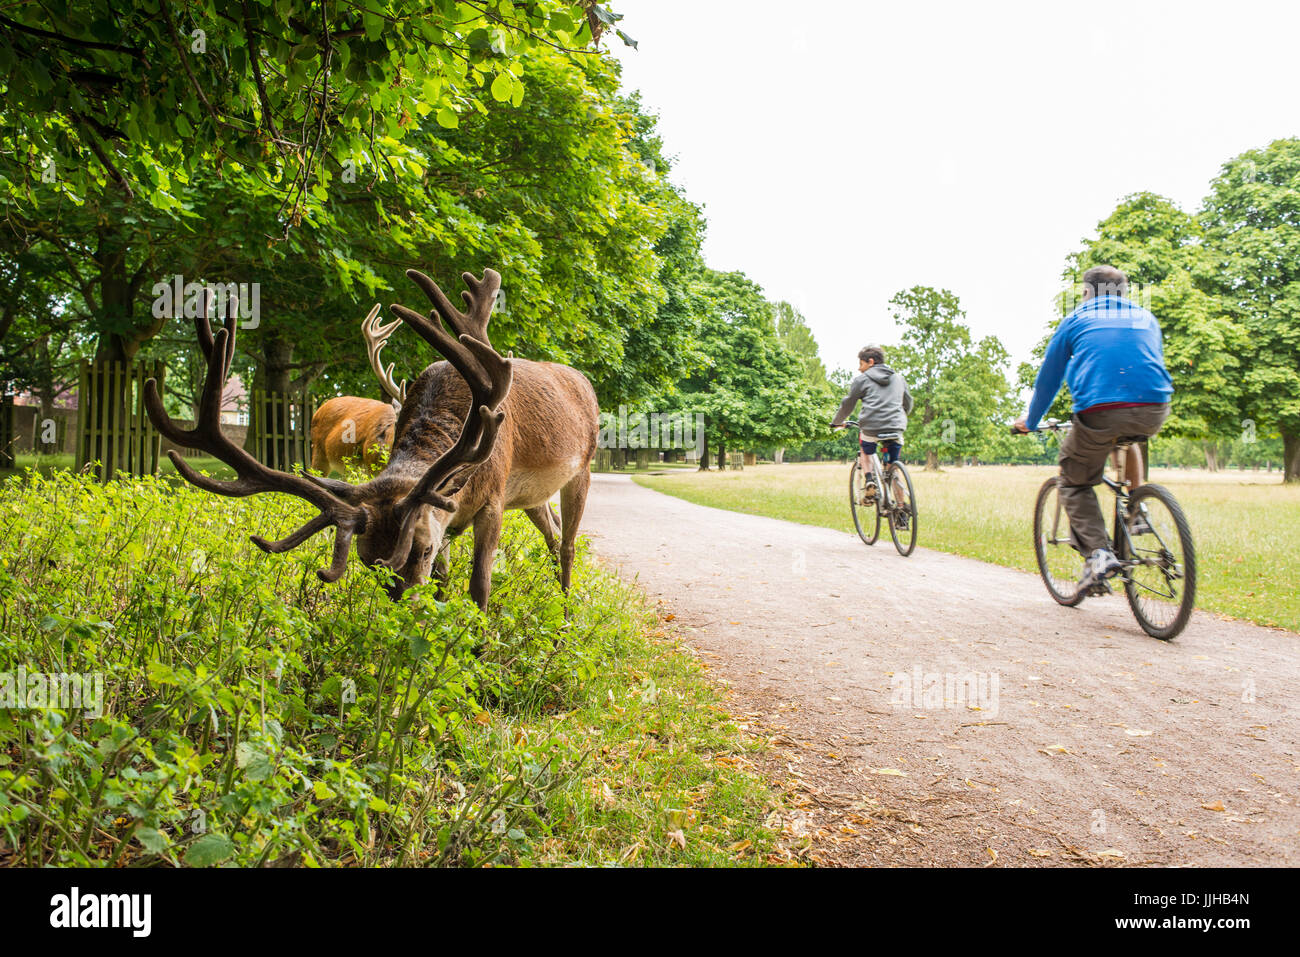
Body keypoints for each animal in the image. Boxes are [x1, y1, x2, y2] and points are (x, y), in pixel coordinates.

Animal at [144, 265, 600, 605]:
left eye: (422, 549)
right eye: (366, 561)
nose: (403, 604)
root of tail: (582, 381)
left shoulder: (491, 501)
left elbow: (479, 587)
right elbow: (446, 585)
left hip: (582, 469)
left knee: (567, 543)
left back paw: (565, 611)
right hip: (532, 496)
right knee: (551, 531)